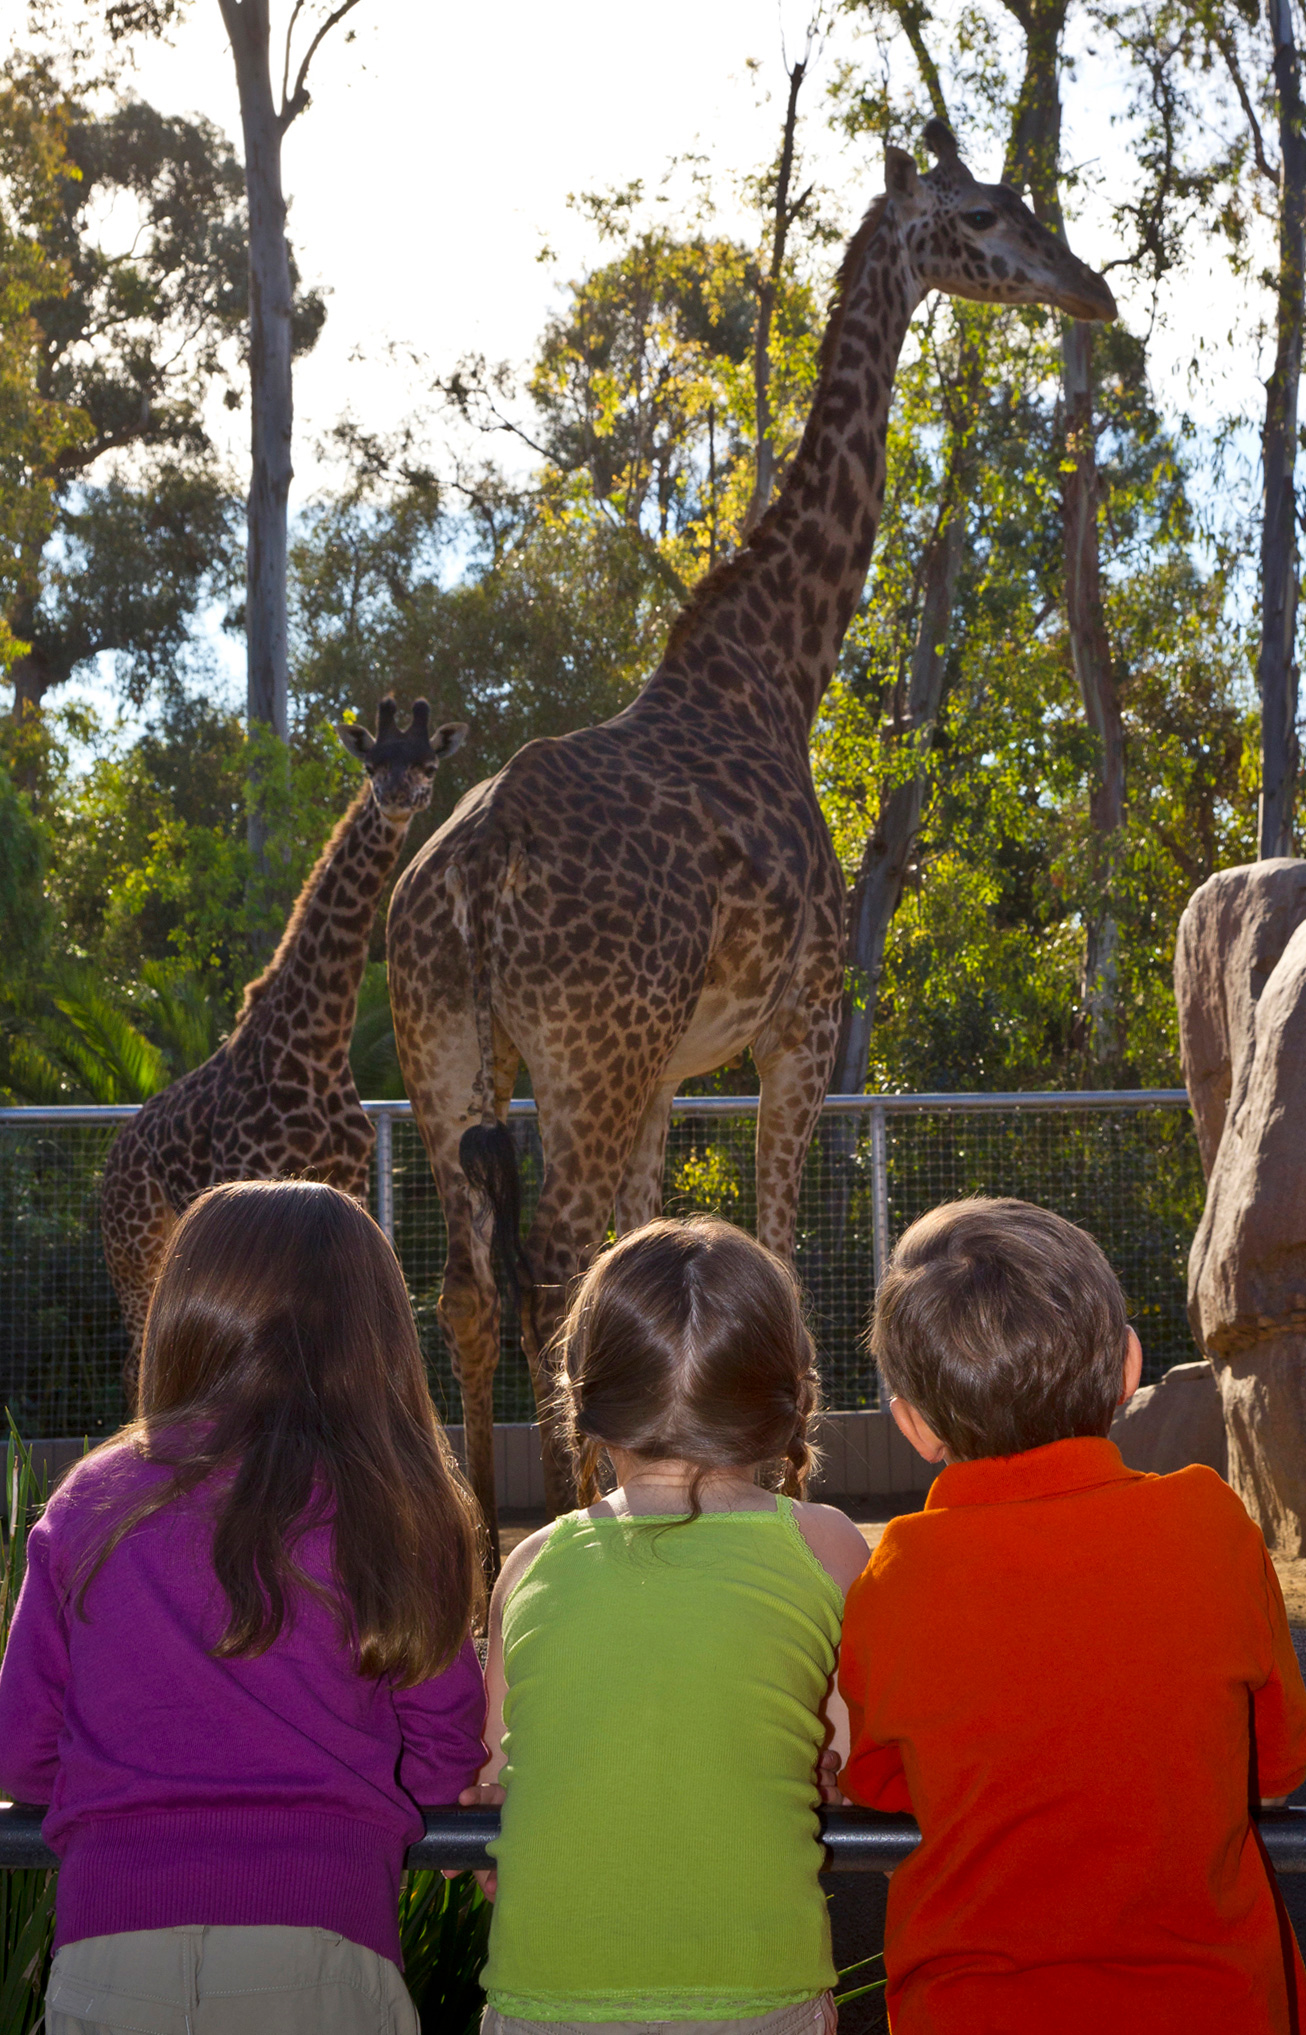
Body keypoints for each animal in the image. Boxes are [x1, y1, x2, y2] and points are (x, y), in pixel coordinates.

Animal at [101, 697, 467, 1385]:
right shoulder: (250, 1176)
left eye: (427, 763)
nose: (396, 795)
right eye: (372, 763)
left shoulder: (348, 1182)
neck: (320, 1043)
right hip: (133, 1248)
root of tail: (113, 1158)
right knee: (137, 1356)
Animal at [386, 121, 1117, 1557]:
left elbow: (656, 1245)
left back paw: (487, 1548)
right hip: (579, 1048)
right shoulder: (802, 1019)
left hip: (449, 1045)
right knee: (546, 1266)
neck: (782, 664)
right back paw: (567, 1529)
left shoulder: (671, 1068)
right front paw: (777, 1477)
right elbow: (770, 1250)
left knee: (469, 1283)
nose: (1093, 292)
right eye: (987, 211)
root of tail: (470, 877)